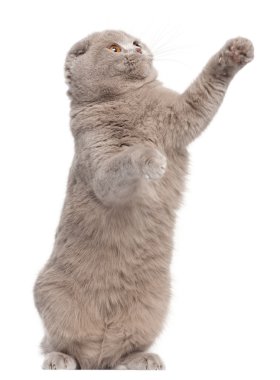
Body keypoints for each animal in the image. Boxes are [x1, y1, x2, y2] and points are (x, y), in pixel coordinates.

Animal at [33, 30, 254, 372]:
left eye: (135, 42)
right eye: (114, 48)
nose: (136, 49)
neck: (126, 100)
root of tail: (97, 360)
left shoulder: (182, 114)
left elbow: (203, 90)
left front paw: (235, 52)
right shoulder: (101, 170)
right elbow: (124, 160)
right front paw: (149, 157)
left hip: (154, 304)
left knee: (122, 349)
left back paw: (142, 359)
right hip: (51, 295)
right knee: (58, 343)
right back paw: (60, 360)